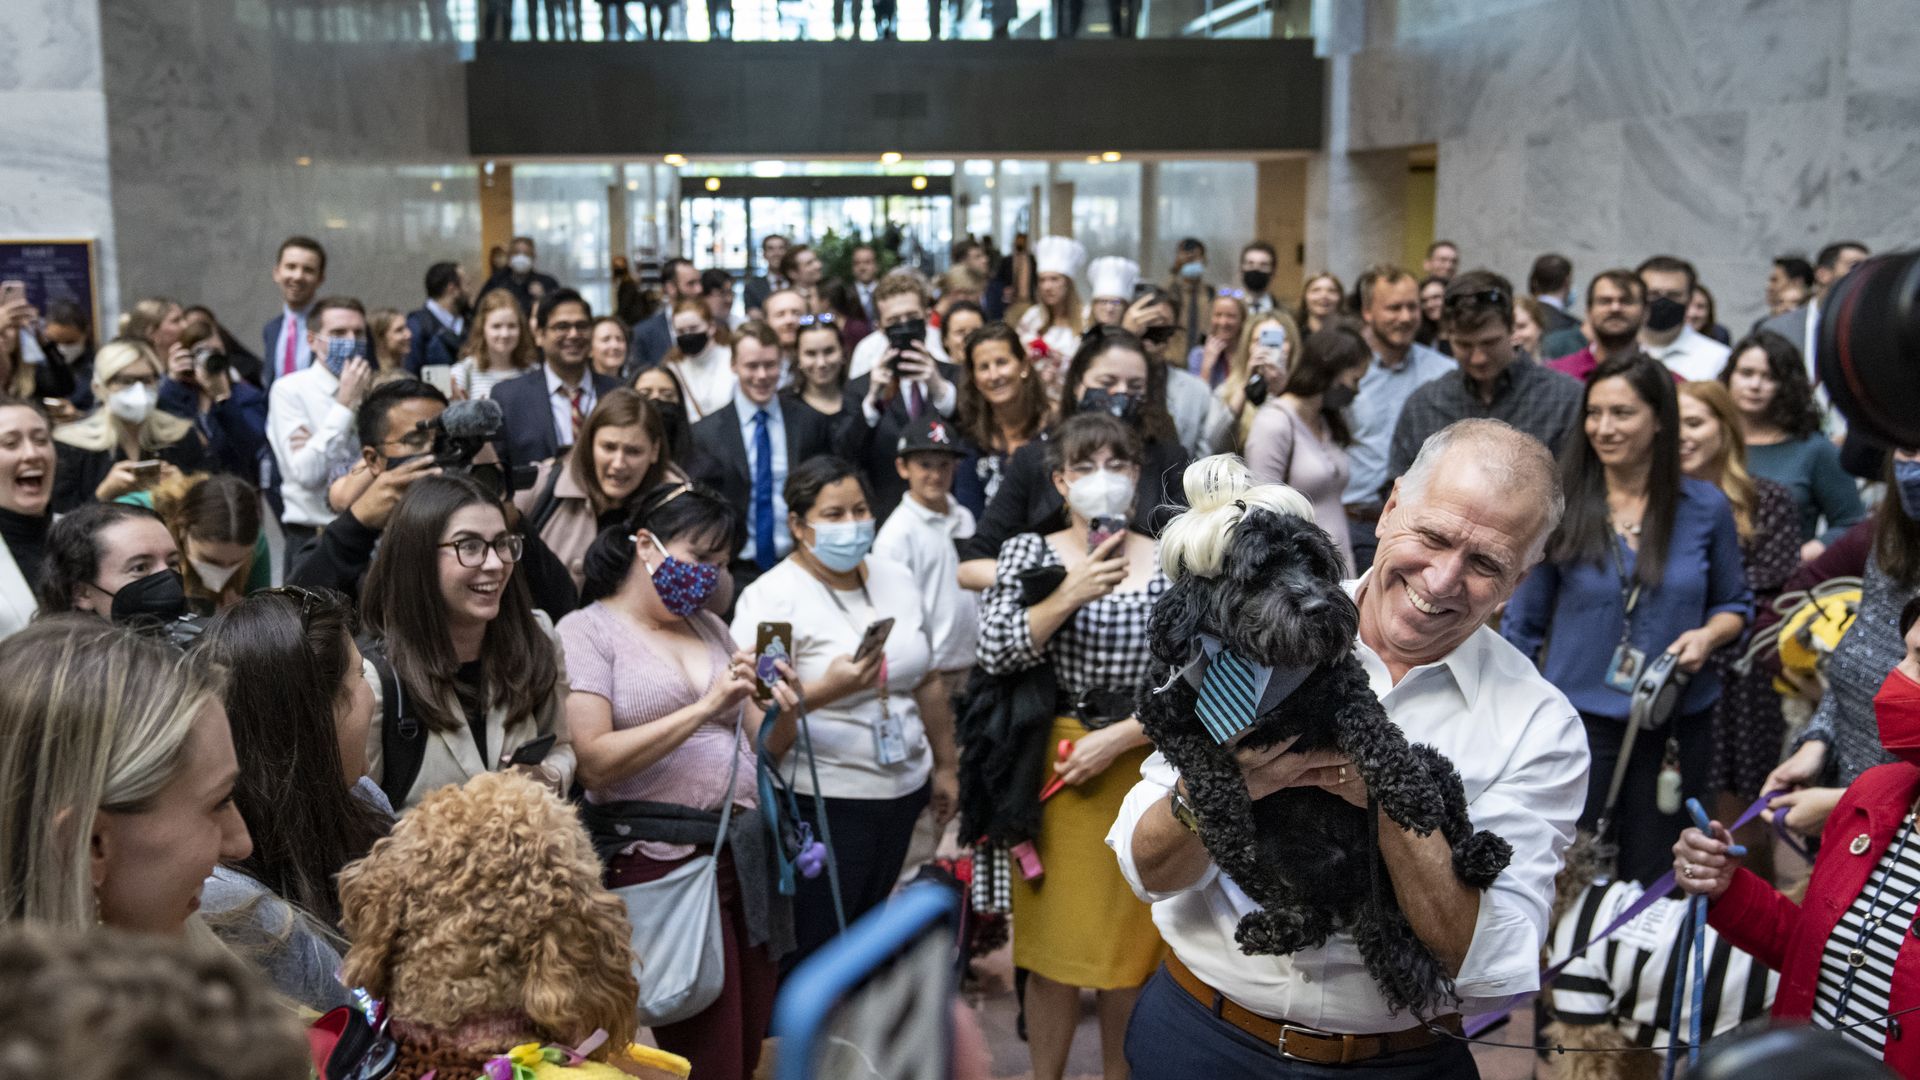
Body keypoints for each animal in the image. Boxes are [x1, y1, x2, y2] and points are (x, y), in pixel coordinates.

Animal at [1136, 503, 1512, 1006]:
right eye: (1260, 573)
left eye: (1315, 566)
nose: (1318, 606)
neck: (1263, 668)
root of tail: (1365, 897)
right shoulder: (1161, 711)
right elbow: (1203, 759)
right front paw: (1225, 817)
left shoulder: (1343, 688)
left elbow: (1375, 732)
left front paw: (1408, 793)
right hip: (1260, 864)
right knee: (1310, 919)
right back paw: (1272, 928)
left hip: (1435, 764)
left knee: (1453, 826)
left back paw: (1480, 852)